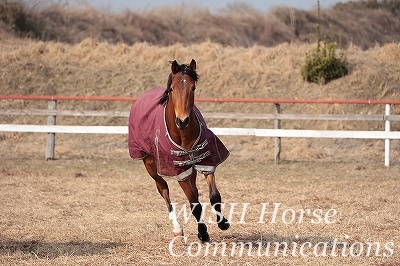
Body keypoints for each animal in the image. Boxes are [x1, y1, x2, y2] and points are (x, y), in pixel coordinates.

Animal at [130, 59, 230, 242]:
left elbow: (214, 196)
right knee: (163, 189)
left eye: (193, 88)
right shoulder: (179, 169)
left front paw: (223, 223)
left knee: (194, 191)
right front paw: (203, 233)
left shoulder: (205, 161)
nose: (182, 121)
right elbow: (194, 204)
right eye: (172, 89)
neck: (182, 134)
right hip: (150, 164)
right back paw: (177, 228)